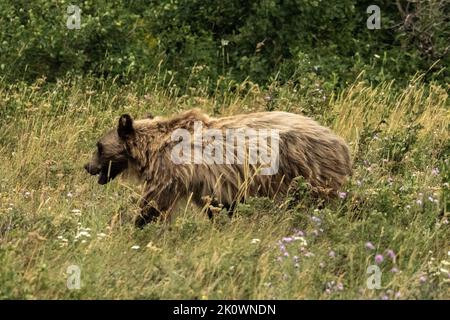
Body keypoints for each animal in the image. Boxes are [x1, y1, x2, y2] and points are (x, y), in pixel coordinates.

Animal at [84, 109, 352, 226]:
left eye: (99, 146)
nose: (88, 166)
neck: (152, 150)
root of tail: (341, 143)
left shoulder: (173, 173)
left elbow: (153, 203)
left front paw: (133, 223)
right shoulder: (207, 182)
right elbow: (217, 206)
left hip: (305, 170)